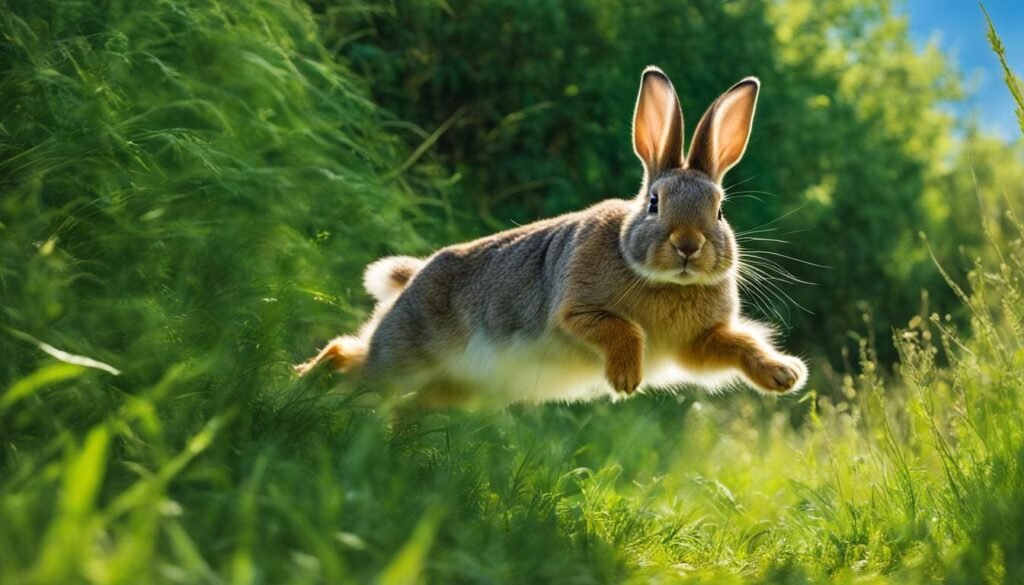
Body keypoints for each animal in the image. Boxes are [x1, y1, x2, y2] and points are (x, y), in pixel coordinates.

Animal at [295, 66, 808, 408]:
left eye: (719, 210)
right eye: (654, 203)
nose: (688, 245)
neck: (663, 281)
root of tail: (412, 279)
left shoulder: (696, 342)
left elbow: (737, 345)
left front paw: (785, 376)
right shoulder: (574, 310)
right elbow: (618, 327)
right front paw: (626, 379)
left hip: (449, 387)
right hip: (405, 354)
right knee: (350, 357)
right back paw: (299, 380)